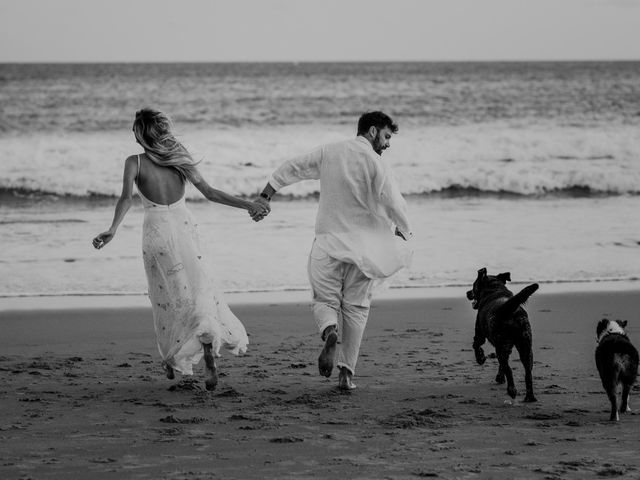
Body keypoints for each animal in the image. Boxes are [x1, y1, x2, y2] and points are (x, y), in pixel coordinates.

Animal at [464, 268, 540, 404]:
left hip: (502, 345)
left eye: (473, 286)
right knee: (527, 372)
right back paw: (529, 397)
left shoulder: (480, 333)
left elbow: (476, 345)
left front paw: (480, 358)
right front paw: (500, 377)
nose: (467, 293)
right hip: (525, 345)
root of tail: (509, 310)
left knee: (508, 368)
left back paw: (512, 390)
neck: (495, 289)